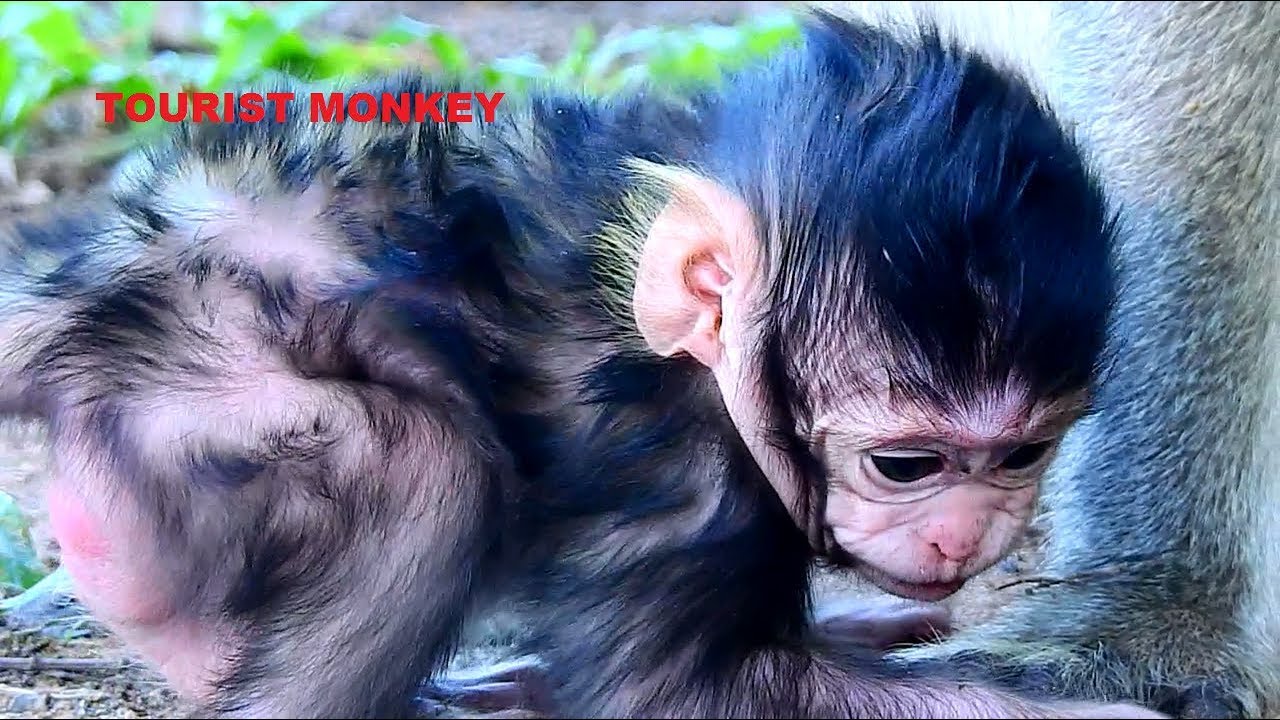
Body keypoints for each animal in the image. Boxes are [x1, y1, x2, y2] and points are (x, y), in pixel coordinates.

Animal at [0, 10, 1169, 719]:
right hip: (188, 397)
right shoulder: (675, 472)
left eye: (1019, 457)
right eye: (906, 466)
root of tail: (95, 271)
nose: (964, 535)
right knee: (429, 465)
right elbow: (677, 694)